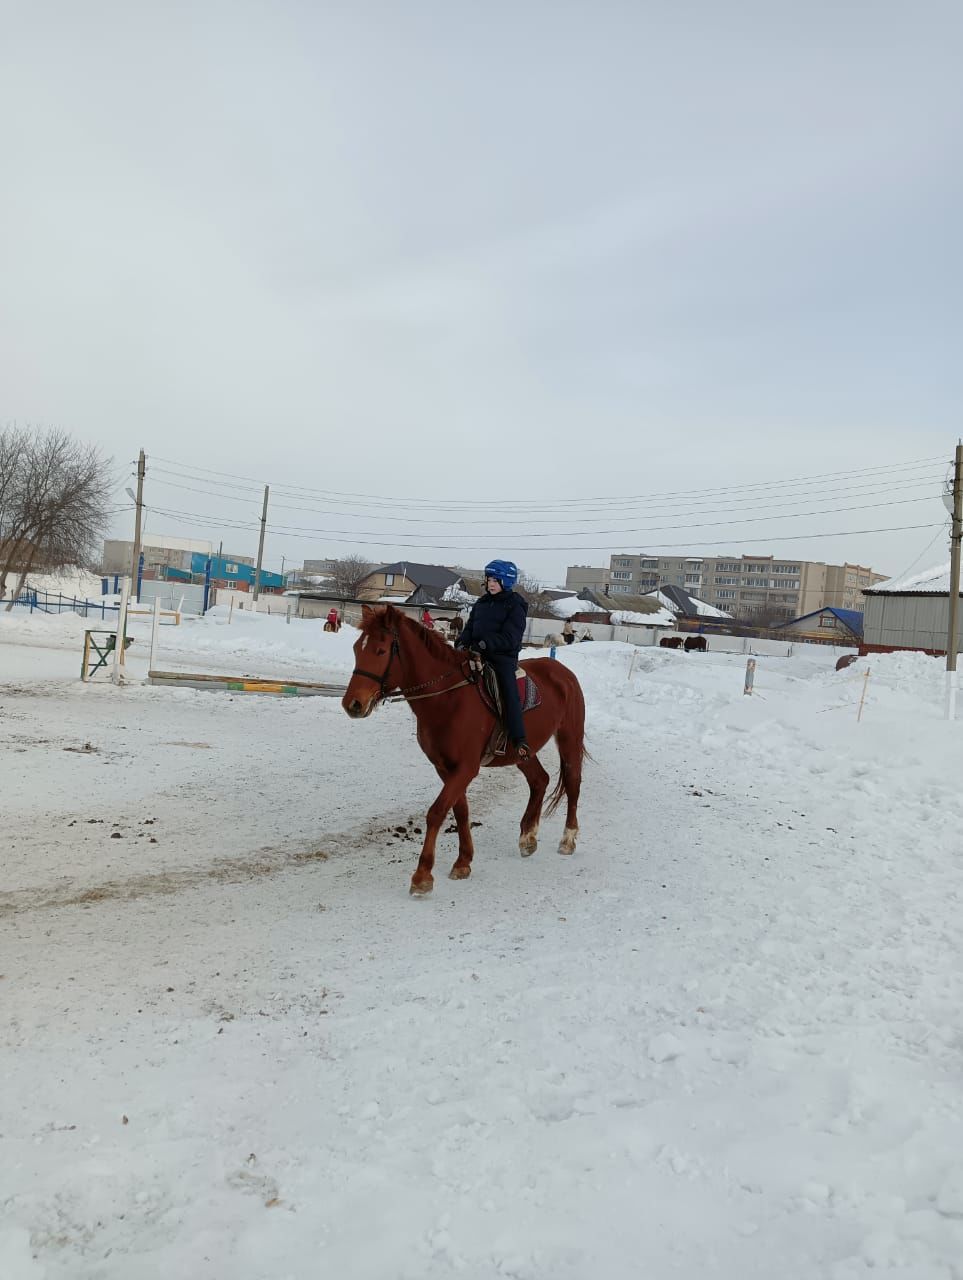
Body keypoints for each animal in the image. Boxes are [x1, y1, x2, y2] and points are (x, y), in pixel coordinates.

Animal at [345, 604, 586, 896]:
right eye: (357, 648)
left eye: (380, 651)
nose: (353, 704)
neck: (449, 698)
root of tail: (563, 672)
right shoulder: (444, 767)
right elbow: (460, 811)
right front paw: (463, 862)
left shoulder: (466, 768)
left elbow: (437, 812)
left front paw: (422, 875)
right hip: (521, 753)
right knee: (540, 780)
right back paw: (528, 837)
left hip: (569, 738)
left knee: (572, 783)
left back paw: (568, 839)